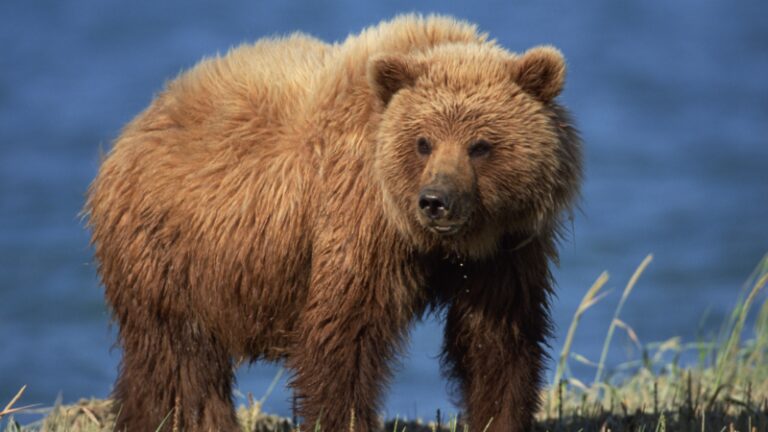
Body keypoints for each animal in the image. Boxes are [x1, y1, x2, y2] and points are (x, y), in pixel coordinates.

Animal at [85, 14, 582, 432]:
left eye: (480, 145)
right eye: (423, 142)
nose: (435, 202)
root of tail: (134, 128)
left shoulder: (507, 247)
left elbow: (496, 340)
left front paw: (500, 415)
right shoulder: (359, 220)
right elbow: (344, 335)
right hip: (171, 253)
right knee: (180, 360)